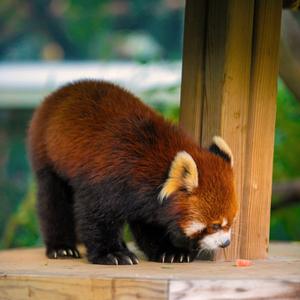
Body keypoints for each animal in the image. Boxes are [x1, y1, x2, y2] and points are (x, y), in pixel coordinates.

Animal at [27, 79, 238, 264]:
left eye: (231, 221)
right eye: (215, 225)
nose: (226, 243)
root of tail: (61, 92)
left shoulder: (145, 197)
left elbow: (149, 224)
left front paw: (169, 251)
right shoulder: (106, 177)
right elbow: (95, 216)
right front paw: (111, 254)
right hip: (46, 153)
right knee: (53, 201)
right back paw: (61, 247)